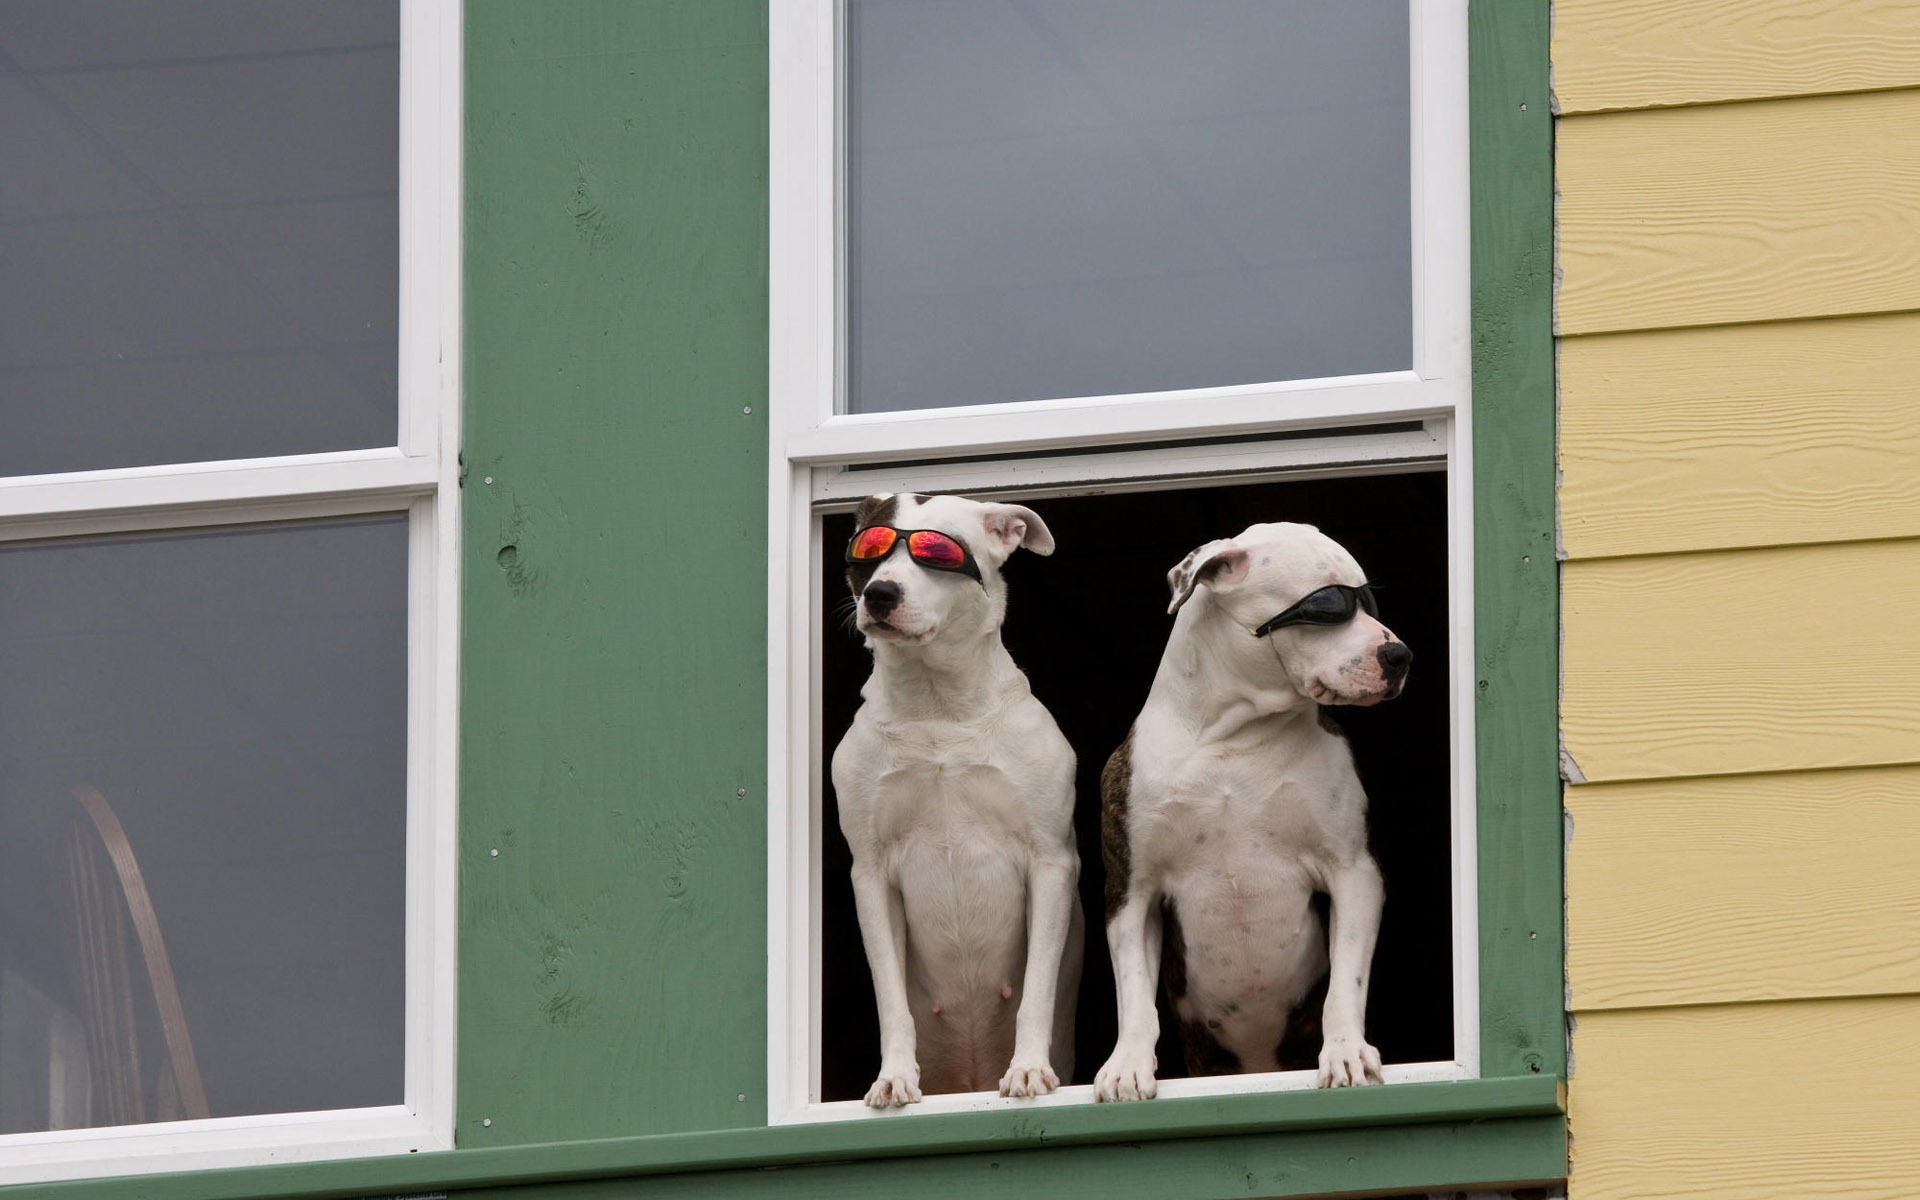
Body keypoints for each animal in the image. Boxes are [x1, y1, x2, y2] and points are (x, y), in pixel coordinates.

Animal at [833, 489, 1090, 1105]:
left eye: (939, 552)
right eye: (869, 550)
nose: (881, 593)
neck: (936, 705)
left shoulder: (1050, 863)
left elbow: (1036, 990)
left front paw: (1028, 1068)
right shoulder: (870, 875)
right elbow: (891, 999)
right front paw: (893, 1075)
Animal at [1098, 518, 1413, 1098]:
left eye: (1367, 600)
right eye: (1327, 604)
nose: (1399, 655)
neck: (1234, 736)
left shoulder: (1354, 871)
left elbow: (1346, 980)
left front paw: (1345, 1050)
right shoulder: (1131, 891)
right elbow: (1133, 992)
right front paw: (1127, 1064)